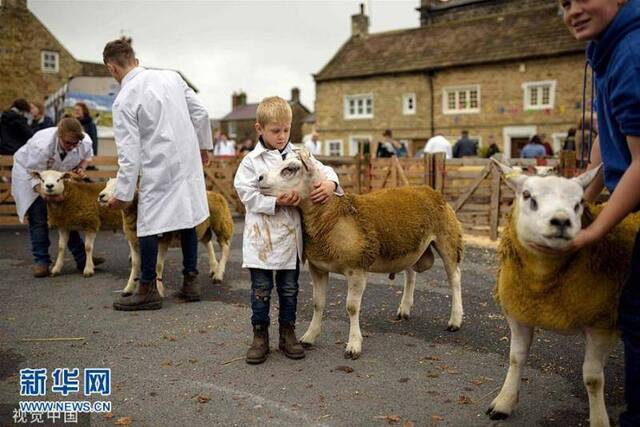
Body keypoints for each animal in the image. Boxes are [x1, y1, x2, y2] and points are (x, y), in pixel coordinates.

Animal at [97, 179, 232, 296]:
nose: (101, 196)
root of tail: (214, 193)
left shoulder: (164, 239)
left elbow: (158, 265)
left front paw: (159, 290)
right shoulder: (133, 240)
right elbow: (135, 264)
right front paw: (128, 288)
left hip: (221, 222)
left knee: (225, 246)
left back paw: (219, 274)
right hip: (204, 227)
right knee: (208, 242)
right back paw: (214, 268)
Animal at [258, 150, 462, 358]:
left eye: (290, 169)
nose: (259, 178)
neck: (330, 216)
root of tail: (430, 190)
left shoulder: (356, 268)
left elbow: (352, 307)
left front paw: (354, 345)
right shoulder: (318, 268)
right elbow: (318, 303)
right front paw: (309, 337)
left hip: (448, 238)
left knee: (454, 278)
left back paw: (455, 320)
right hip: (408, 246)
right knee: (410, 274)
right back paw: (404, 309)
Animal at [488, 161, 636, 427]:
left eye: (579, 203)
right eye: (528, 196)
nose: (561, 220)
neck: (542, 285)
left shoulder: (602, 323)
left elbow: (593, 378)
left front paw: (599, 419)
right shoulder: (519, 315)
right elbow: (516, 358)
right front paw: (504, 403)